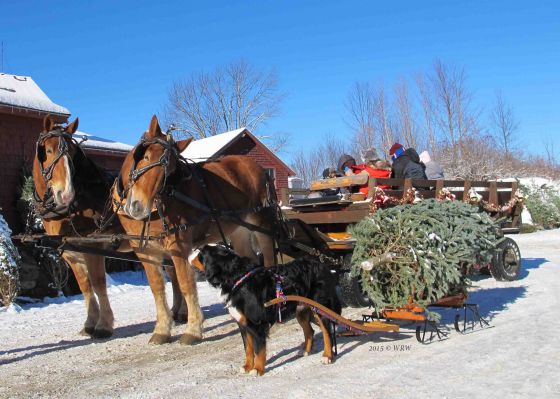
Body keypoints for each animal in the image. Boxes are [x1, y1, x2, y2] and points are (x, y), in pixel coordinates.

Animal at [32, 116, 186, 344]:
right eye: (48, 150)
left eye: (72, 154)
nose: (65, 194)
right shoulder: (72, 255)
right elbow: (85, 287)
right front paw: (89, 323)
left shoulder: (93, 249)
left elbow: (98, 284)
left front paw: (103, 325)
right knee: (173, 272)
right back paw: (177, 311)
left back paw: (181, 311)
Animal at [112, 116, 274, 346]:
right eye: (144, 156)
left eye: (169, 172)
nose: (138, 207)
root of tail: (257, 167)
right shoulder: (146, 252)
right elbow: (157, 289)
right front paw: (162, 330)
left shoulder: (179, 247)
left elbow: (186, 284)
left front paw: (193, 329)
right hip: (239, 230)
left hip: (261, 223)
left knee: (268, 254)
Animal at [192, 245, 342, 376]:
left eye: (200, 254)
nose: (191, 250)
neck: (236, 279)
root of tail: (322, 265)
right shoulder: (243, 324)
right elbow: (248, 348)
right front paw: (247, 366)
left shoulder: (256, 324)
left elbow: (259, 350)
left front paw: (257, 369)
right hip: (301, 310)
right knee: (310, 331)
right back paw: (305, 351)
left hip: (320, 308)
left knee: (327, 332)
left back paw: (327, 356)